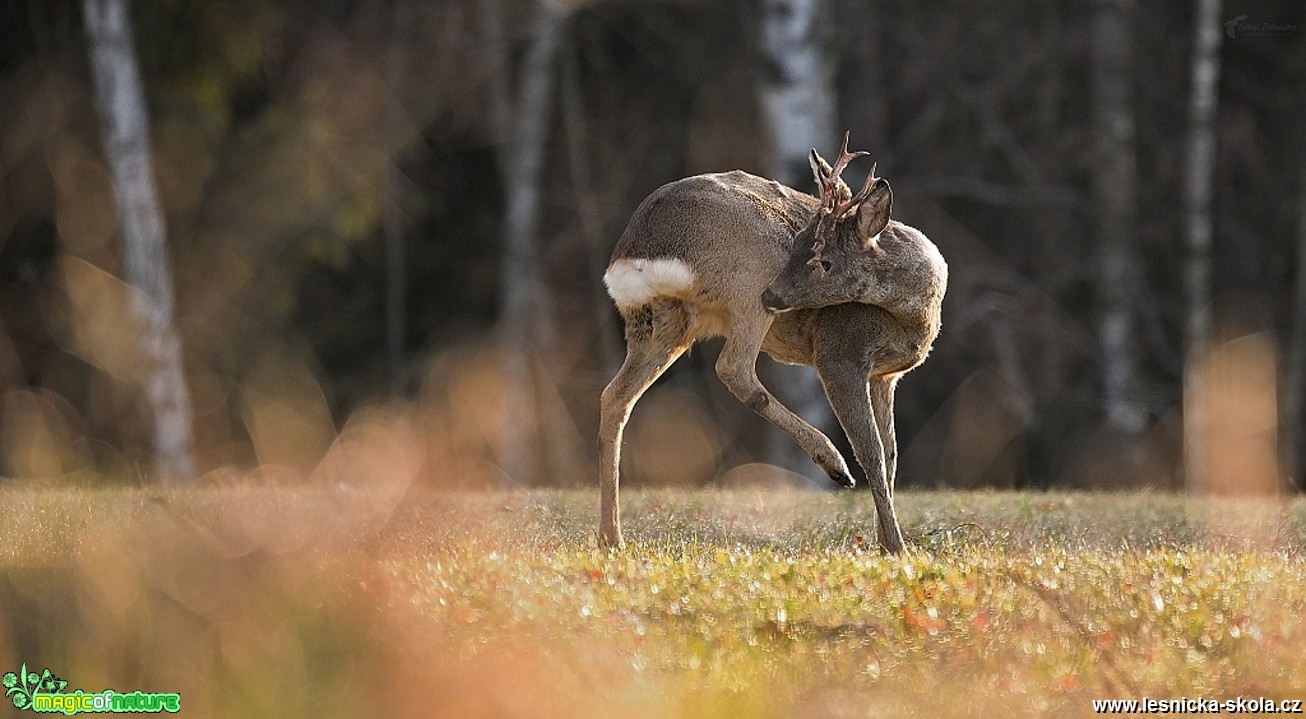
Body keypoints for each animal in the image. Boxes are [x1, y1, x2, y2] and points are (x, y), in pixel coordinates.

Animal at [598, 132, 945, 553]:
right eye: (796, 245)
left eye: (823, 261)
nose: (774, 294)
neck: (916, 312)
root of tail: (633, 250)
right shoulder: (839, 355)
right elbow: (873, 453)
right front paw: (896, 547)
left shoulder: (886, 376)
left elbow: (892, 456)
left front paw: (883, 541)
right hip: (750, 273)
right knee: (732, 368)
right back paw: (834, 464)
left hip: (662, 322)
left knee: (615, 396)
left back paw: (611, 536)